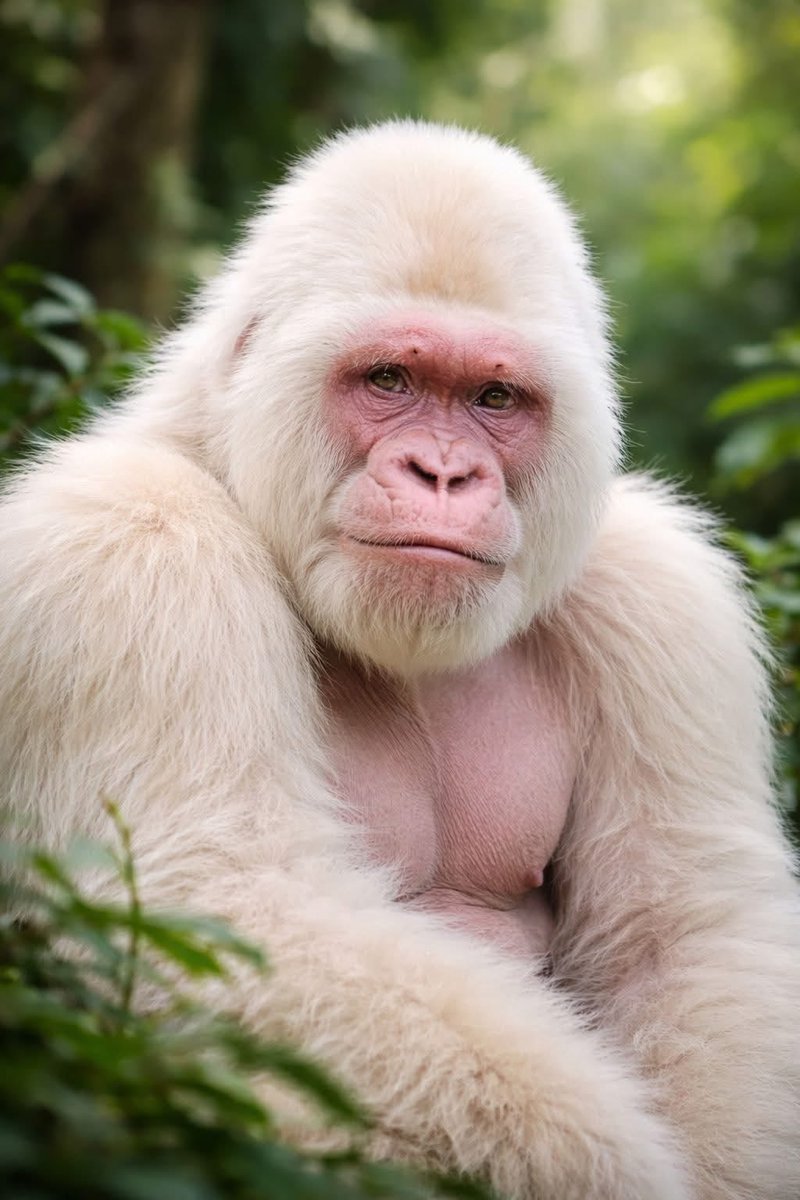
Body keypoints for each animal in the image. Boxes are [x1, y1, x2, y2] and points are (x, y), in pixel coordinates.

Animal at [1, 121, 798, 1200]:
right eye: (389, 381)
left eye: (495, 396)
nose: (443, 473)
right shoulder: (128, 549)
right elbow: (221, 906)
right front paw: (611, 1167)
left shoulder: (665, 604)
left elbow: (689, 937)